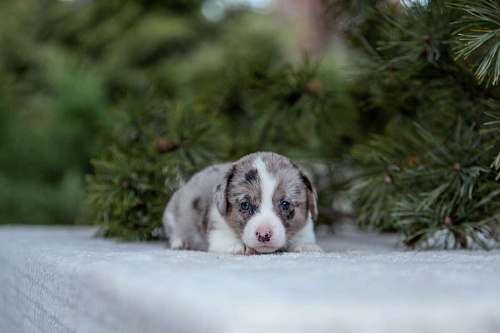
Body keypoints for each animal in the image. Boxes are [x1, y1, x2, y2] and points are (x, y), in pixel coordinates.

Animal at [162, 151, 322, 254]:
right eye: (245, 205)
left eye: (285, 204)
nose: (264, 235)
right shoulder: (217, 233)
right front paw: (241, 246)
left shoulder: (306, 228)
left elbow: (300, 238)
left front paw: (304, 245)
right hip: (172, 213)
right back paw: (182, 243)